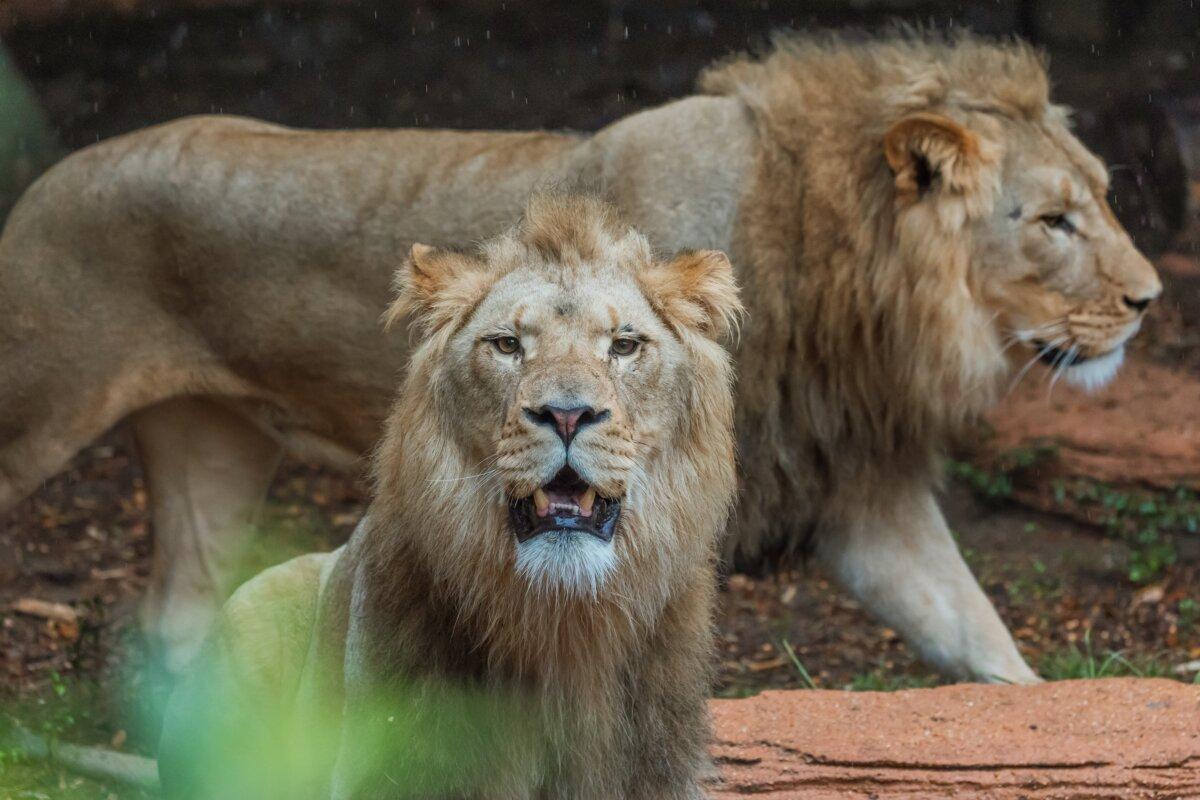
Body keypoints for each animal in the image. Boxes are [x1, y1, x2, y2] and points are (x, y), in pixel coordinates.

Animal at [0, 30, 1160, 684]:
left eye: (1102, 196)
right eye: (1053, 221)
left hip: (216, 442)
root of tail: (54, 173)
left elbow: (981, 638)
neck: (851, 276)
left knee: (179, 619)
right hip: (38, 404)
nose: (1151, 301)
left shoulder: (860, 497)